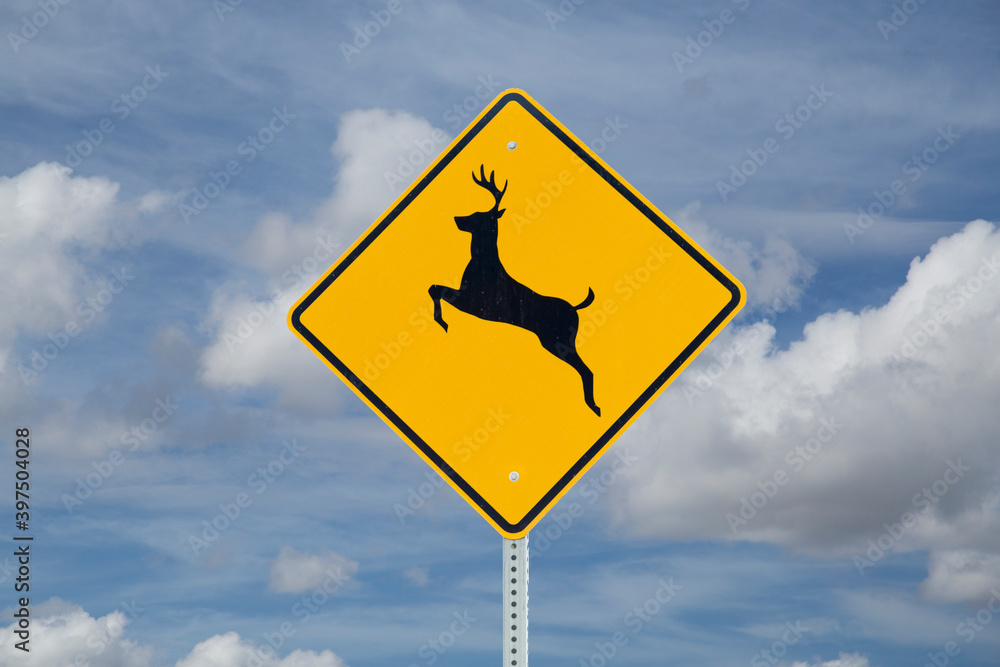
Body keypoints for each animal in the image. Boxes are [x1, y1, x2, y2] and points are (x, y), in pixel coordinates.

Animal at [429, 165, 601, 416]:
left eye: (479, 215)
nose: (457, 219)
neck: (483, 264)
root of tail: (576, 309)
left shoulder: (473, 303)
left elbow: (435, 289)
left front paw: (442, 322)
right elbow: (434, 288)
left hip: (558, 340)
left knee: (586, 370)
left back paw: (594, 407)